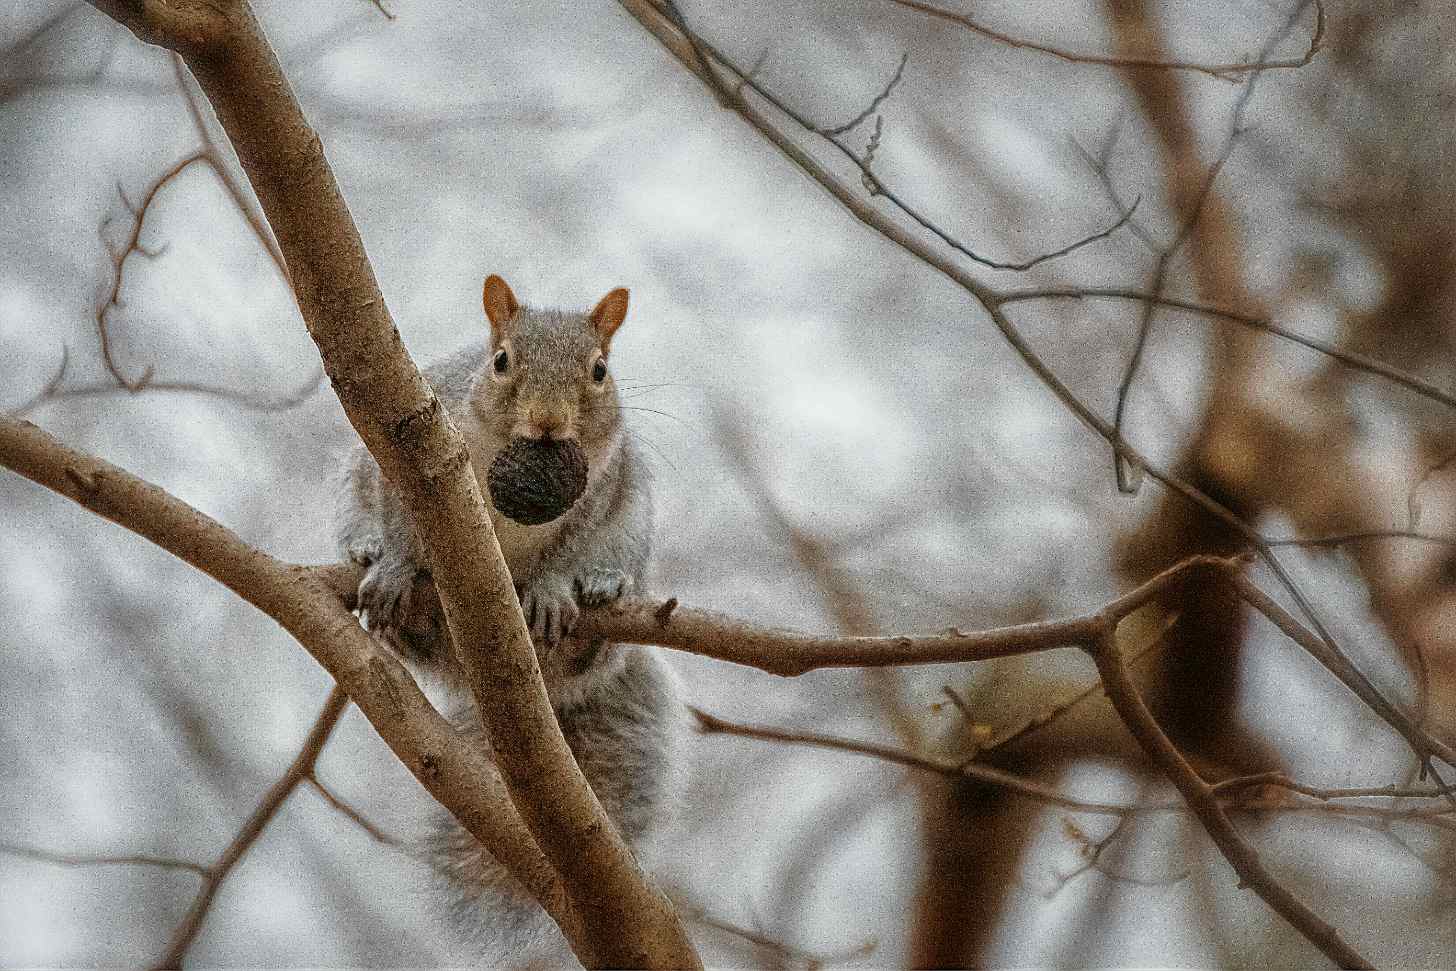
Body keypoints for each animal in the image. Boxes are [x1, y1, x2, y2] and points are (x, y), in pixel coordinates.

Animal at [334, 275, 682, 955]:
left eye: (599, 371)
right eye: (500, 362)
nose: (548, 422)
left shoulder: (603, 491)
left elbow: (570, 547)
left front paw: (553, 590)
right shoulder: (396, 465)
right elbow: (400, 522)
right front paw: (393, 565)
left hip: (631, 534)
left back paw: (599, 600)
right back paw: (386, 587)